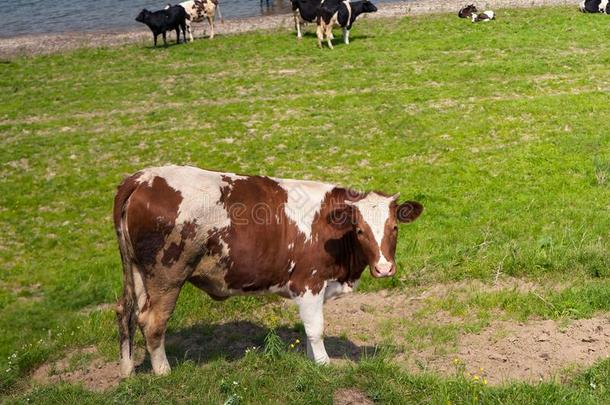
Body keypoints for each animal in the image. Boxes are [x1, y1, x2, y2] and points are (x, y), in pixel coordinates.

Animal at [111, 164, 420, 376]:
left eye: (394, 227)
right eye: (359, 230)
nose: (384, 268)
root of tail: (143, 178)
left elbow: (308, 329)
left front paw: (312, 361)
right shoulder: (308, 282)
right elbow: (316, 329)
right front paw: (324, 365)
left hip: (136, 271)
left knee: (126, 312)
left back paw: (127, 371)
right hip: (166, 276)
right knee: (152, 322)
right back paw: (163, 372)